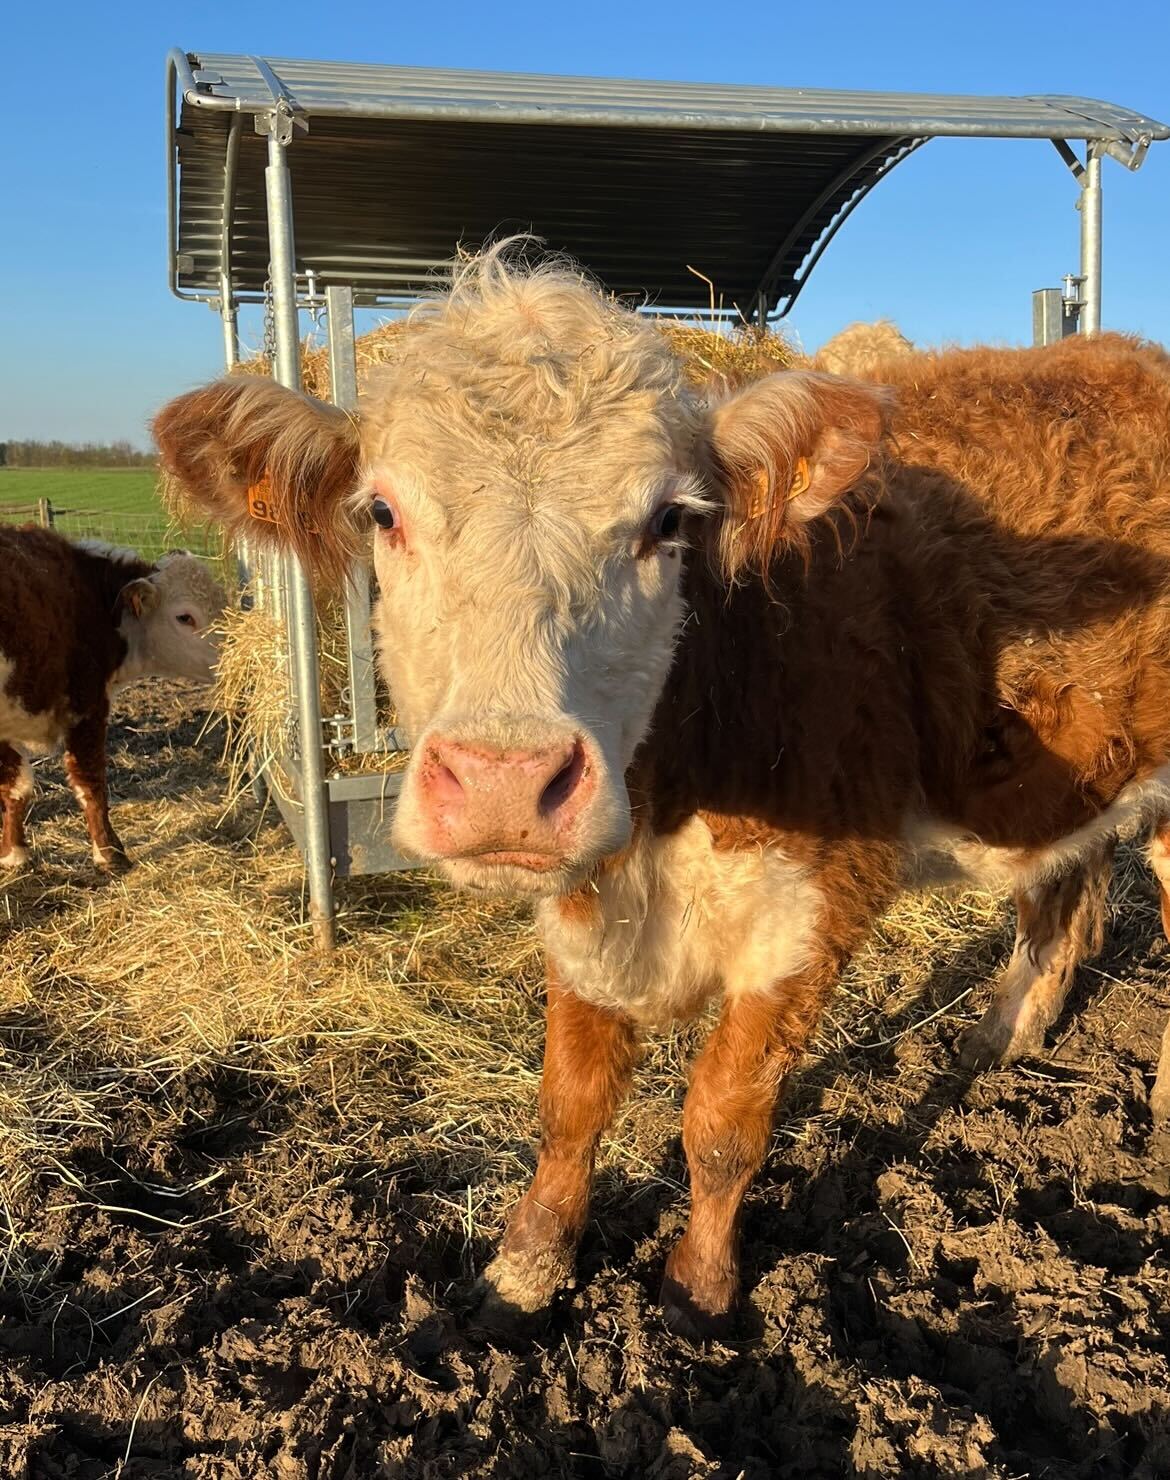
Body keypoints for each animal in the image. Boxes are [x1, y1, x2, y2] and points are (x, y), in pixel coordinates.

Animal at [0, 530, 225, 871]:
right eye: (185, 617)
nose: (236, 655)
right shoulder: (86, 706)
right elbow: (90, 784)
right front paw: (109, 853)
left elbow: (15, 788)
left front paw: (12, 853)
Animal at [153, 244, 1170, 1339]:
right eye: (383, 511)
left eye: (668, 520)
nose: (507, 782)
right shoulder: (581, 907)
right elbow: (571, 1101)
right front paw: (525, 1266)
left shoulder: (810, 912)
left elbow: (723, 1119)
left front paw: (697, 1292)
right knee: (1065, 889)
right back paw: (1005, 1033)